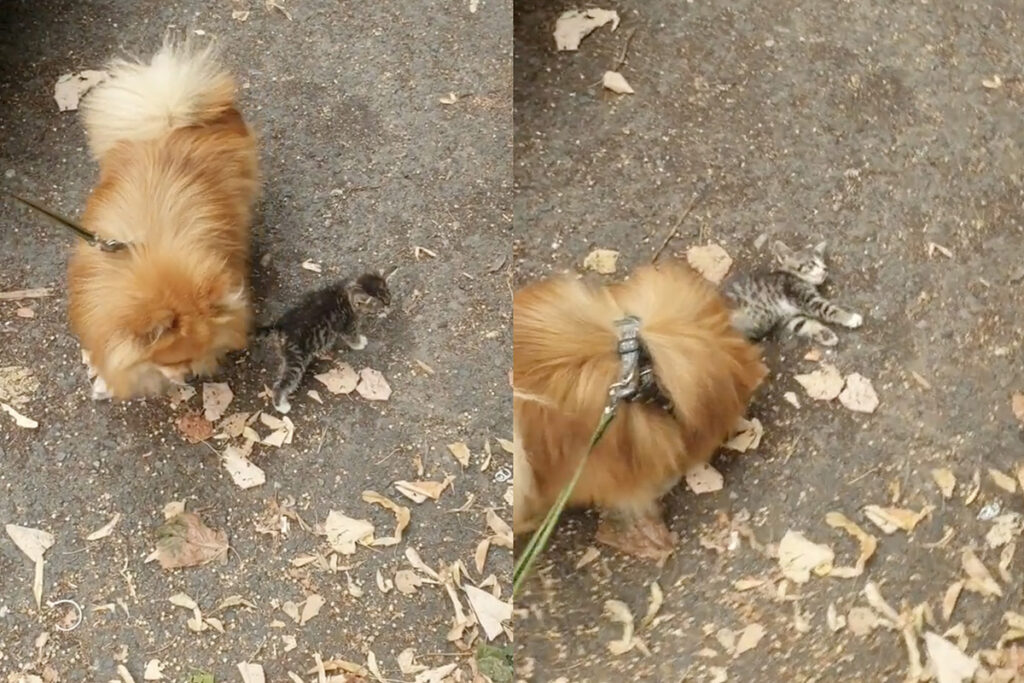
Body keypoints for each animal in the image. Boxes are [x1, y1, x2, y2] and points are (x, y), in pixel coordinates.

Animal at [258, 270, 393, 411]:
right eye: (381, 308)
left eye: (389, 301)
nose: (389, 310)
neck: (347, 295)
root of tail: (281, 325)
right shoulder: (347, 325)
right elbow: (352, 337)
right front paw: (360, 343)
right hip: (296, 359)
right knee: (282, 383)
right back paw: (281, 406)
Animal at [720, 241, 864, 348]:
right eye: (812, 263)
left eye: (823, 262)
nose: (825, 269)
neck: (796, 277)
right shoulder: (803, 296)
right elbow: (828, 309)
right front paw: (850, 318)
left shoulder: (787, 317)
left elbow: (803, 324)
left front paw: (825, 335)